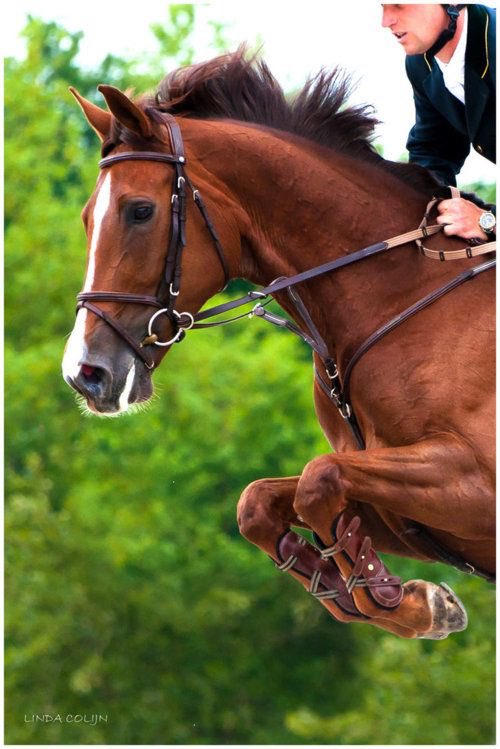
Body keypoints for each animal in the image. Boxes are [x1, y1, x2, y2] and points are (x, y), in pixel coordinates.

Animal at [62, 50, 495, 640]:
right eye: (87, 217)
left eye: (140, 210)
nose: (85, 374)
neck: (397, 293)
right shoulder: (406, 513)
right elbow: (263, 503)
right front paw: (398, 595)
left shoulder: (476, 485)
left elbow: (318, 479)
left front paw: (396, 595)